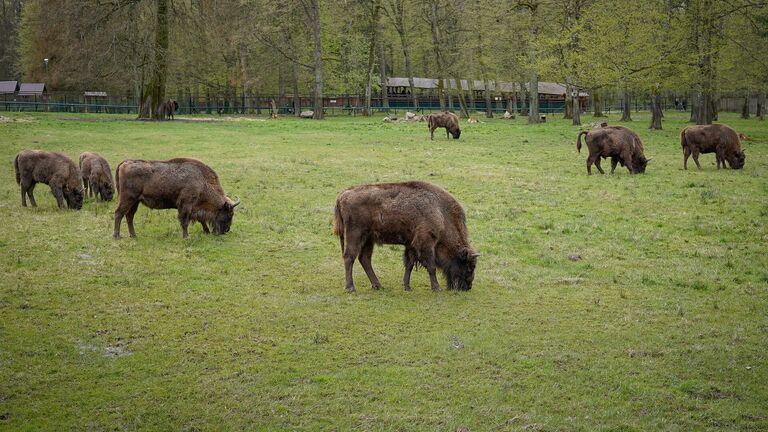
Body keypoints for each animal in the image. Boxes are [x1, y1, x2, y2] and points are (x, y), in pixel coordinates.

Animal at [332, 181, 476, 292]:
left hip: (368, 239)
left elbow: (409, 265)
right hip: (355, 235)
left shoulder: (411, 245)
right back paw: (350, 288)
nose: (468, 287)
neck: (440, 212)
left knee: (364, 259)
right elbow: (431, 266)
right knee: (349, 257)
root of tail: (342, 196)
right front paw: (436, 288)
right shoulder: (426, 243)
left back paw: (378, 286)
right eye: (469, 267)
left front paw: (407, 287)